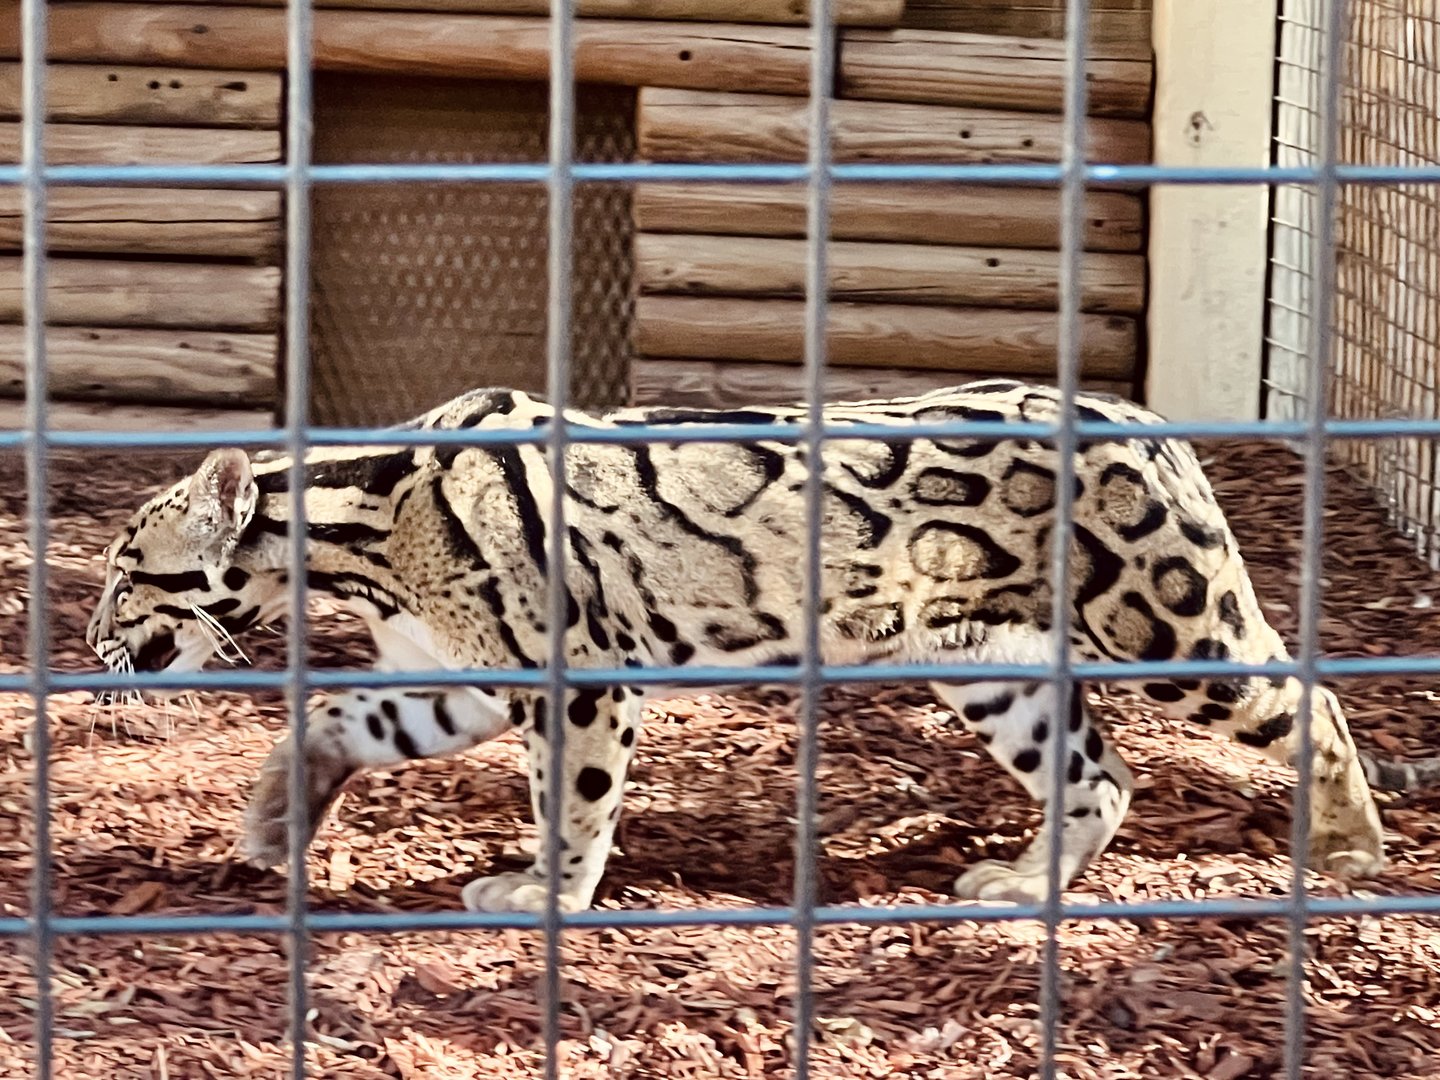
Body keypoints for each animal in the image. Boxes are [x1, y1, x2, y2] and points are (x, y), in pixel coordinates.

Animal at [84, 380, 1440, 912]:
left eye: (120, 570)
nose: (89, 641)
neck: (362, 525)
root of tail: (1143, 416)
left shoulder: (579, 675)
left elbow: (572, 804)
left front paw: (548, 895)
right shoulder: (454, 677)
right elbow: (335, 720)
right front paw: (278, 810)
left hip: (1170, 620)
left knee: (1312, 699)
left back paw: (1351, 845)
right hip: (990, 660)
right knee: (1102, 776)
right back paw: (1026, 883)